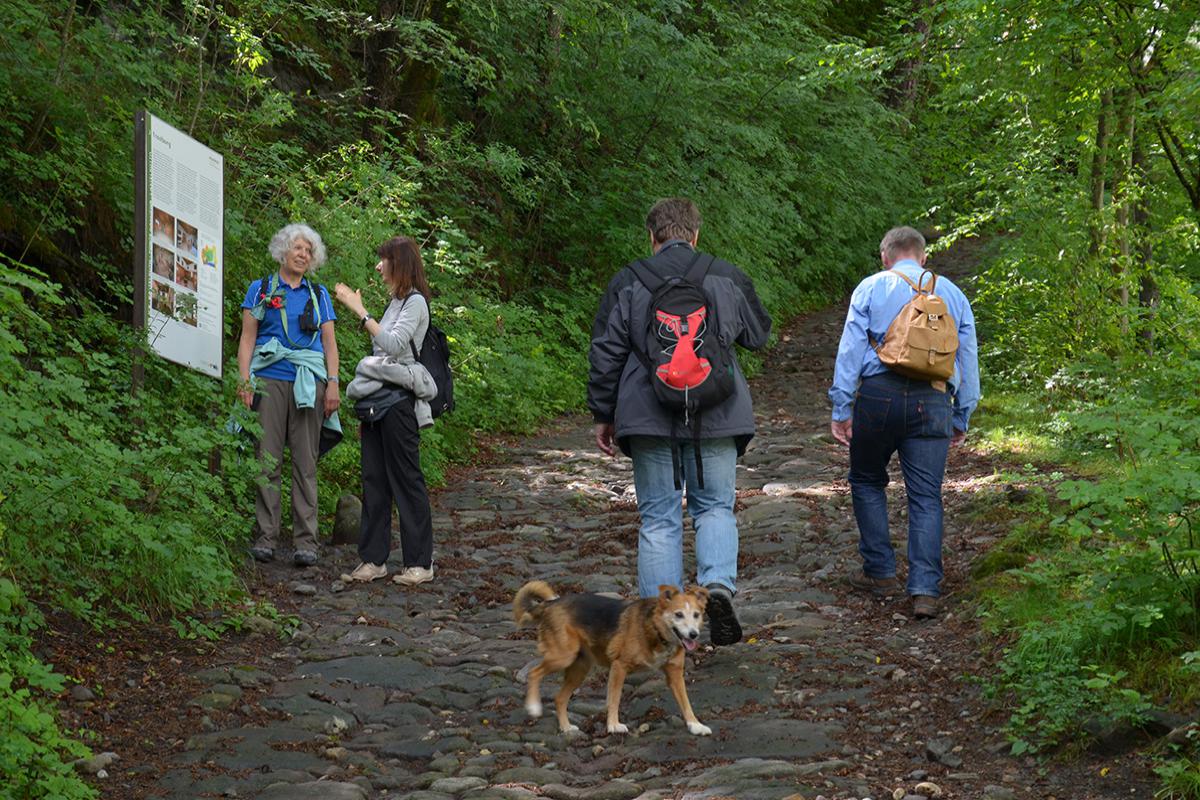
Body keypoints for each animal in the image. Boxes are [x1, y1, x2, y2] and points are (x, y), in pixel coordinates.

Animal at [508, 585, 710, 734]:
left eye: (696, 615)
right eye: (678, 614)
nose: (693, 635)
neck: (655, 628)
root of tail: (551, 603)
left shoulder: (675, 675)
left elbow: (685, 702)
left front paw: (695, 725)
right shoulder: (619, 666)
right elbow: (614, 698)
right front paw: (613, 725)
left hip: (579, 669)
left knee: (559, 698)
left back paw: (566, 728)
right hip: (563, 657)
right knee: (534, 673)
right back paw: (533, 706)